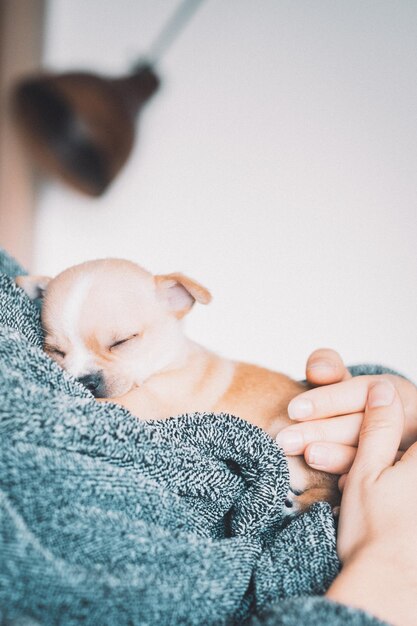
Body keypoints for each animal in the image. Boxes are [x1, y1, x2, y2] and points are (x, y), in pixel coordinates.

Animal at [17, 258, 340, 512]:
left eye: (122, 341)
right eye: (56, 351)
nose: (85, 380)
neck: (167, 362)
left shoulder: (149, 401)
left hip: (286, 443)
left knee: (330, 490)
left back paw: (297, 503)